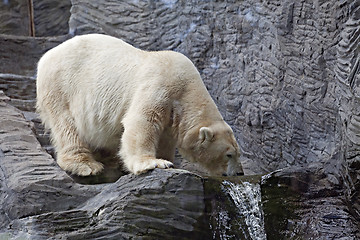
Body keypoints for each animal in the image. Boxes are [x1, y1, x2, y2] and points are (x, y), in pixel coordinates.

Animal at [36, 33, 243, 176]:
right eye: (229, 154)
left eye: (237, 152)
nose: (240, 172)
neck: (187, 88)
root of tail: (46, 56)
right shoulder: (160, 86)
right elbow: (142, 122)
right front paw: (154, 163)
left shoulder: (173, 115)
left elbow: (165, 136)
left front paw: (166, 159)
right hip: (61, 87)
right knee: (67, 126)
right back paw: (86, 165)